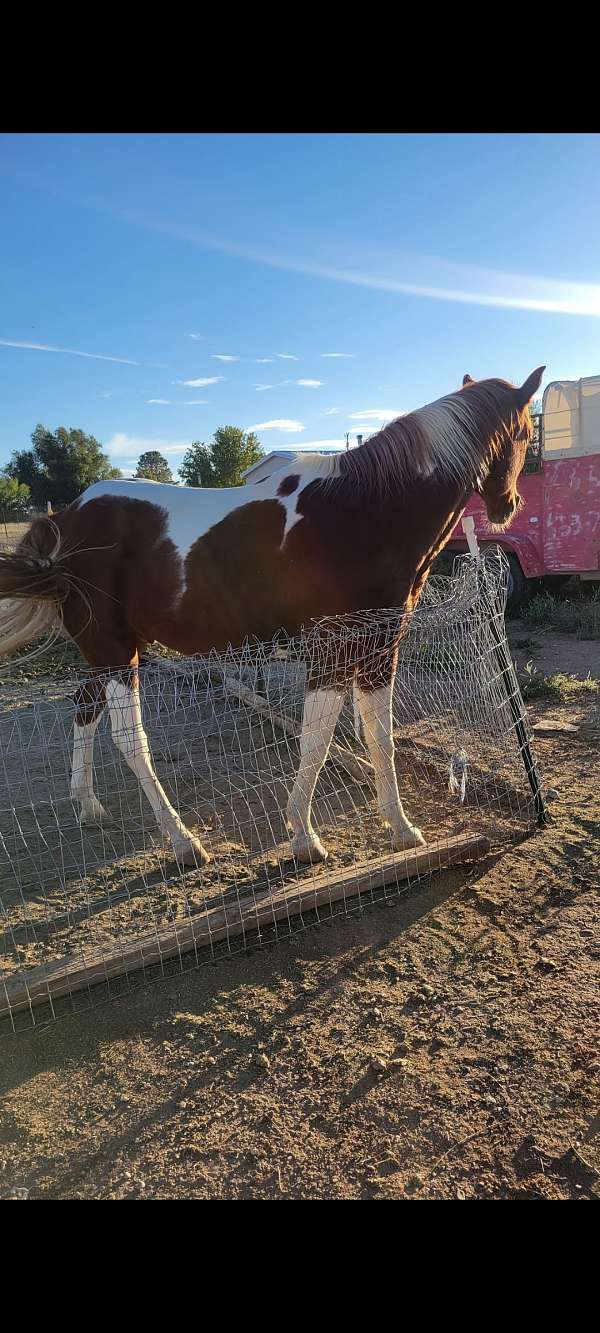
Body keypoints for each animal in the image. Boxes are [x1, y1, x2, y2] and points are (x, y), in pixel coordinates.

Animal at [0, 365, 544, 869]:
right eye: (526, 435)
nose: (509, 506)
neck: (365, 513)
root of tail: (66, 519)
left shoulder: (377, 647)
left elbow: (379, 737)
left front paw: (400, 828)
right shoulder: (331, 650)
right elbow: (317, 741)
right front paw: (304, 836)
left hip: (107, 651)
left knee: (83, 711)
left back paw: (88, 806)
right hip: (115, 652)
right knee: (131, 742)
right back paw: (183, 842)